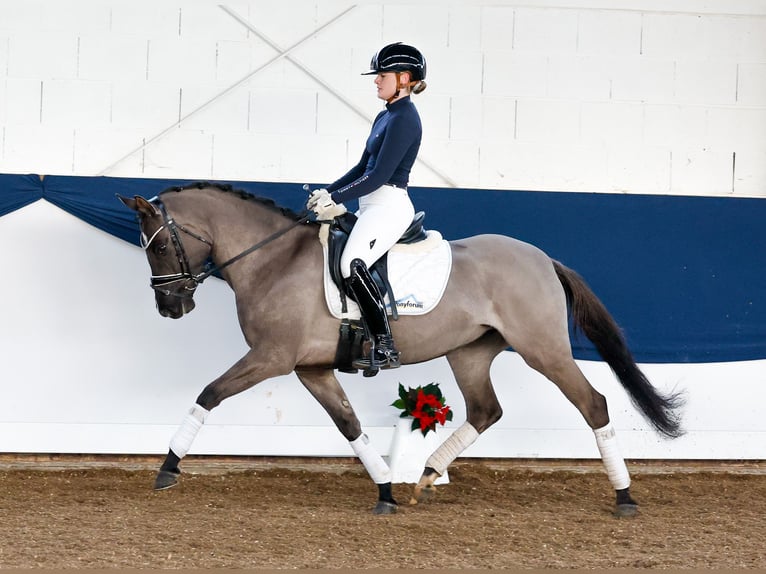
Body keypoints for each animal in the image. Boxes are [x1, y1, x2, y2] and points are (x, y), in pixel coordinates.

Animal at [118, 182, 684, 520]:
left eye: (161, 246)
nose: (170, 307)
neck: (272, 260)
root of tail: (544, 258)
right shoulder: (310, 369)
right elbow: (350, 426)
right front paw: (387, 491)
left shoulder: (272, 359)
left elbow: (208, 394)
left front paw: (168, 468)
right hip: (470, 352)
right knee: (487, 410)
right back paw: (428, 473)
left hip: (544, 350)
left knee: (593, 404)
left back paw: (624, 497)